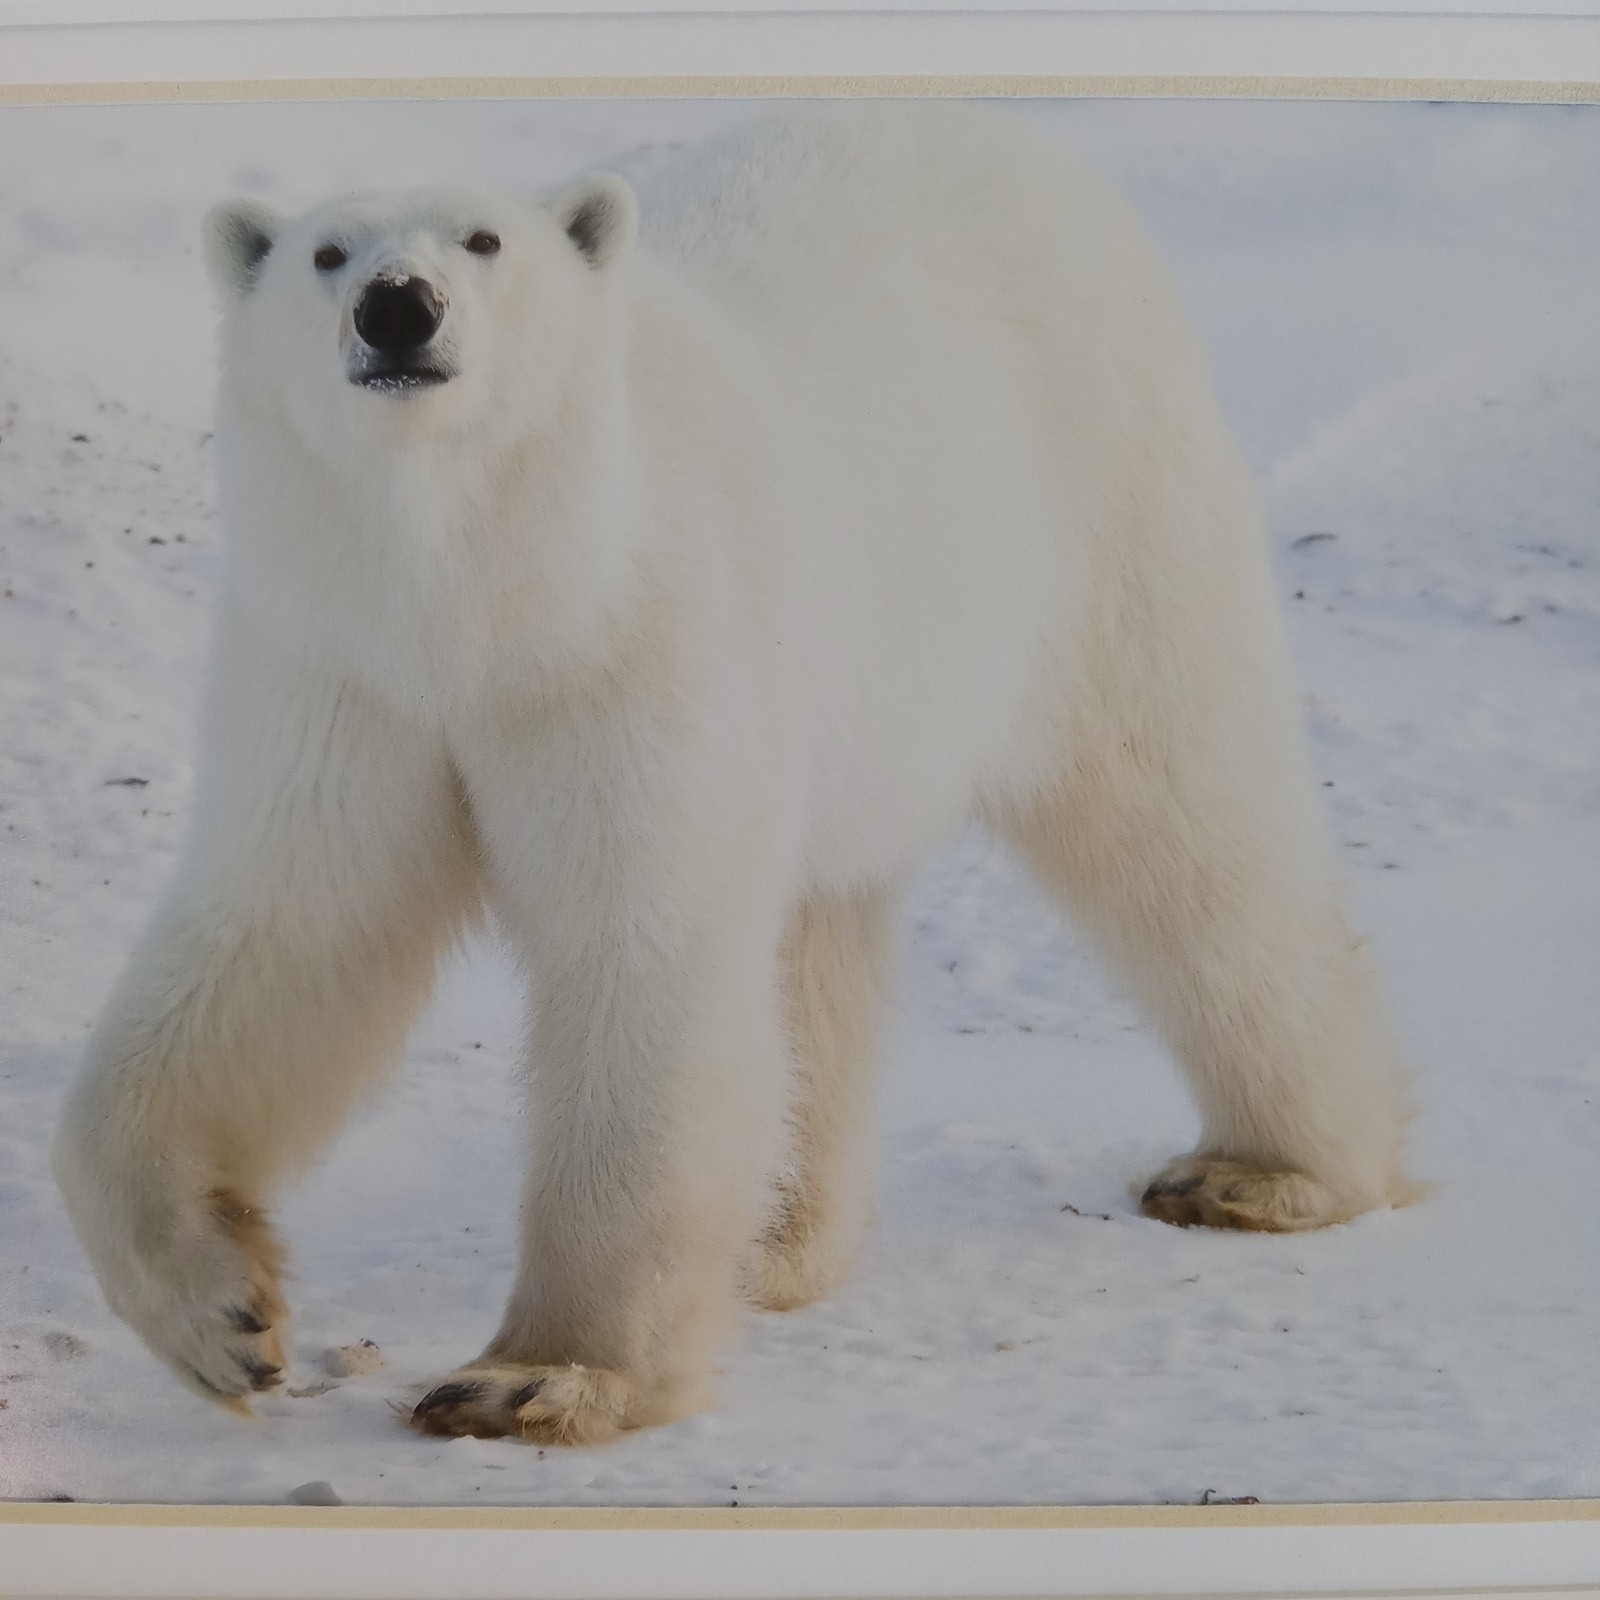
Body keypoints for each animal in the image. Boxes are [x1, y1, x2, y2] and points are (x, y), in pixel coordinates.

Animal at [53, 102, 1412, 1446]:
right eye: (326, 254)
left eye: (485, 239)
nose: (398, 306)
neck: (497, 586)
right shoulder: (352, 671)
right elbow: (289, 933)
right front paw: (223, 1317)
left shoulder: (634, 641)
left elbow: (640, 950)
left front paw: (539, 1375)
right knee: (821, 934)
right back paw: (777, 1241)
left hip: (1102, 515)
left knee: (1182, 822)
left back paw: (1271, 1167)